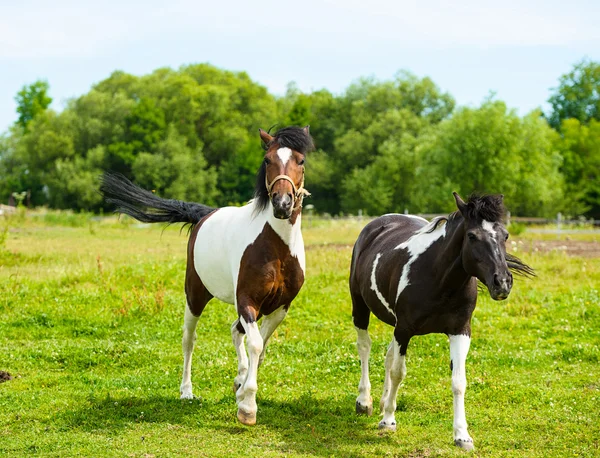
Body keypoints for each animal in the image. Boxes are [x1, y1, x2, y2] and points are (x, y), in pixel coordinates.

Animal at [101, 124, 314, 426]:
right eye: (267, 160)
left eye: (301, 160)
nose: (282, 204)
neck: (276, 247)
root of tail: (205, 214)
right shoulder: (247, 301)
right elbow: (256, 345)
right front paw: (247, 407)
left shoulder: (279, 307)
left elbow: (259, 348)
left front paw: (242, 390)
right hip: (195, 296)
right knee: (189, 340)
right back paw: (187, 391)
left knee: (235, 331)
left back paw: (237, 379)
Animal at [346, 193, 536, 450]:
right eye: (472, 236)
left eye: (505, 235)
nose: (503, 283)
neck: (438, 278)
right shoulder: (404, 330)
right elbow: (398, 372)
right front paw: (388, 421)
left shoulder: (460, 331)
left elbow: (458, 381)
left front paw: (462, 435)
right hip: (360, 306)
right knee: (365, 347)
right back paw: (365, 401)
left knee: (387, 355)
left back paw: (384, 399)